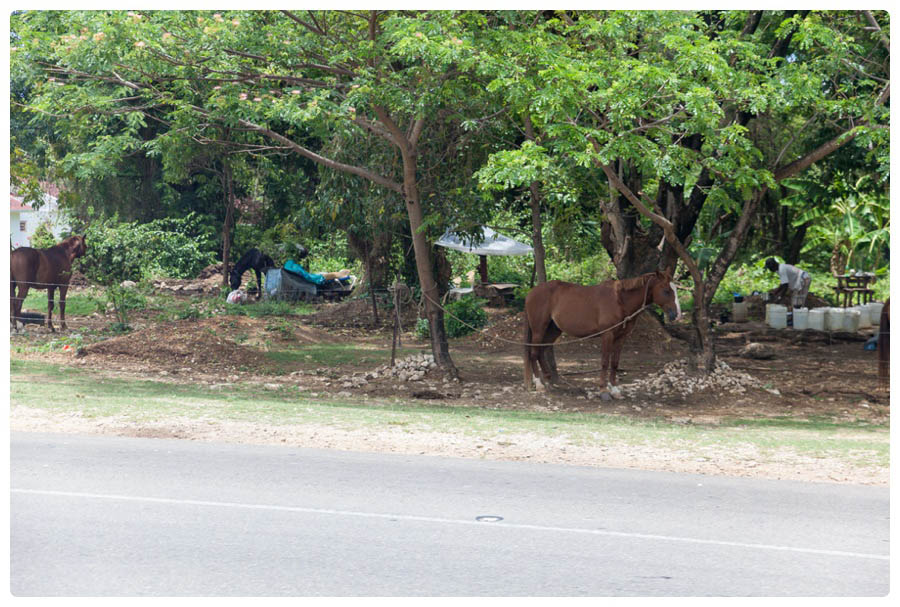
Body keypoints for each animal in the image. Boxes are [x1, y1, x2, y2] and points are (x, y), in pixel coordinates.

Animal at [520, 268, 684, 392]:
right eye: (666, 291)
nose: (677, 315)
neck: (619, 301)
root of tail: (530, 293)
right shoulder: (607, 335)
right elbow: (605, 361)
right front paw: (603, 389)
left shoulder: (621, 337)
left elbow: (615, 362)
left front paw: (615, 389)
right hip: (539, 329)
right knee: (534, 353)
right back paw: (539, 383)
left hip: (553, 330)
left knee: (541, 351)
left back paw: (547, 381)